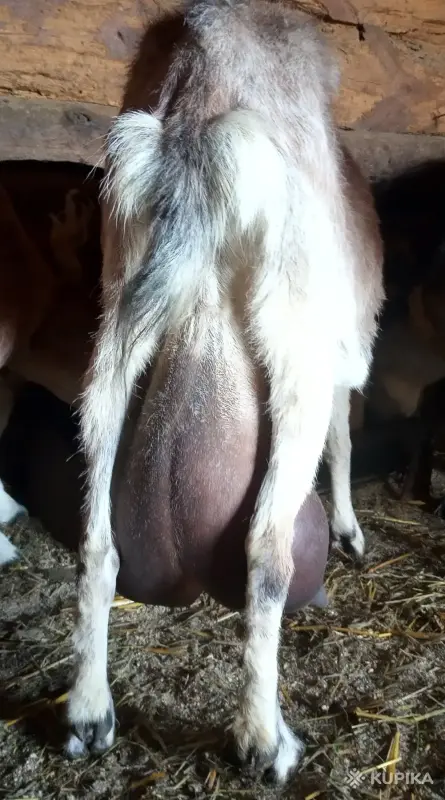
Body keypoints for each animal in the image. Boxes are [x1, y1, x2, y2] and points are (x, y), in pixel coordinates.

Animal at [66, 0, 384, 784]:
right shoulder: (339, 354)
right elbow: (344, 437)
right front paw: (348, 530)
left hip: (113, 328)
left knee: (95, 543)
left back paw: (89, 712)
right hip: (294, 345)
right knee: (267, 550)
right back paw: (263, 740)